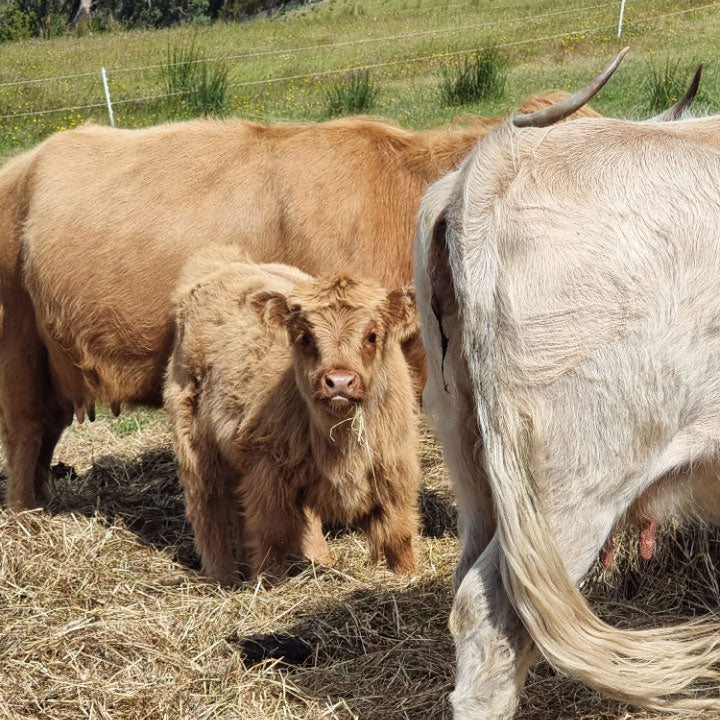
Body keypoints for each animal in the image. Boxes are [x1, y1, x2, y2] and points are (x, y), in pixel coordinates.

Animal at [164, 250, 420, 584]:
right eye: (305, 337)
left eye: (372, 336)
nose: (339, 382)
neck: (340, 442)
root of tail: (222, 260)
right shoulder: (267, 471)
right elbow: (272, 537)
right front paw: (268, 583)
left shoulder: (394, 470)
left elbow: (397, 535)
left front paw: (407, 577)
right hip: (195, 444)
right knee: (208, 508)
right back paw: (224, 577)